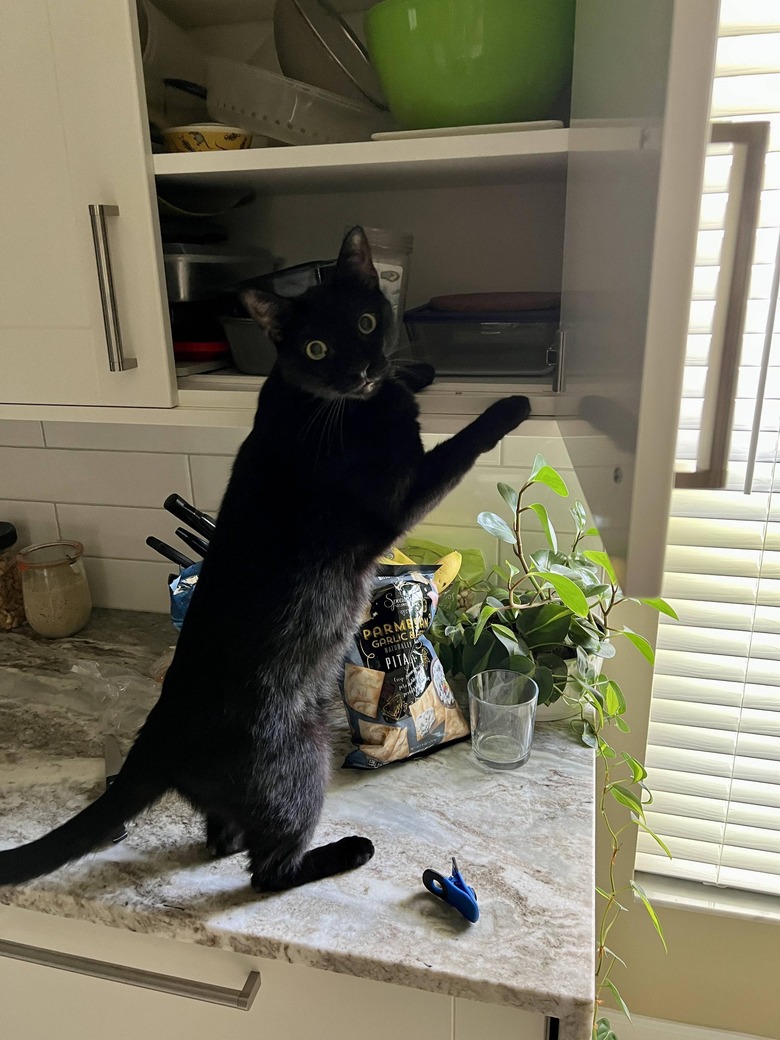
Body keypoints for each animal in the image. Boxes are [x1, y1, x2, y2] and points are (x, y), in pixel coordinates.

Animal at [0, 227, 532, 894]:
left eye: (365, 321)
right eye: (316, 347)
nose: (360, 369)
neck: (331, 402)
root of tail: (155, 738)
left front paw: (414, 368)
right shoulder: (400, 498)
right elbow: (458, 447)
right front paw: (508, 408)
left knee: (225, 838)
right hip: (303, 758)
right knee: (268, 870)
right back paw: (347, 851)